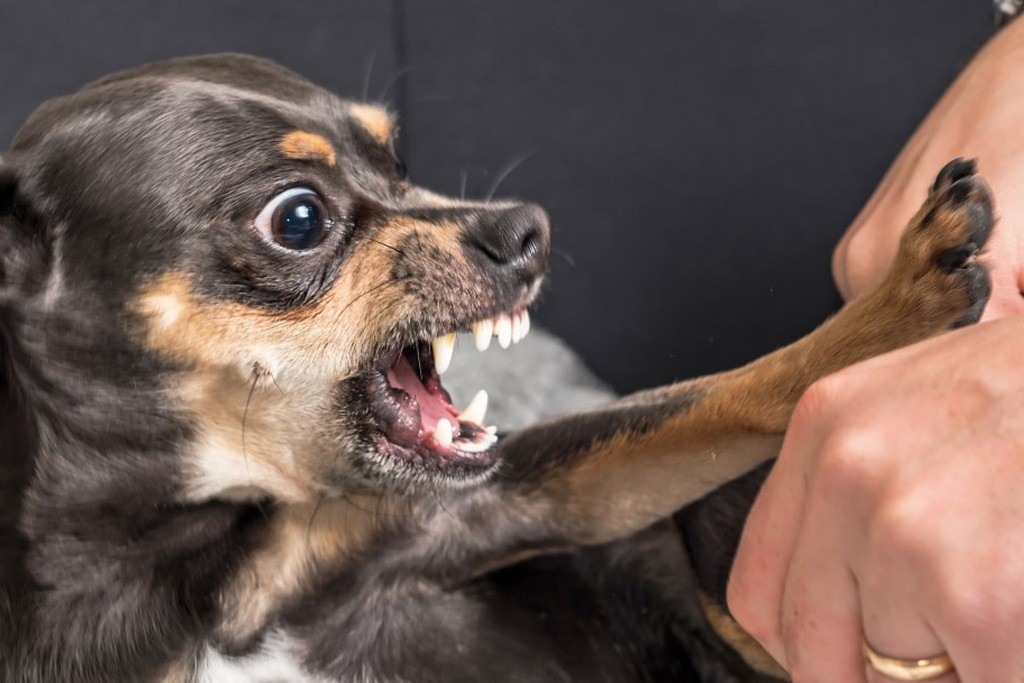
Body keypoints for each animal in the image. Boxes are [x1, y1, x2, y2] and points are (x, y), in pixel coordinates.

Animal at [0, 54, 991, 683]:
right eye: (298, 219)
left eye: (397, 162)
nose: (528, 228)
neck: (166, 572)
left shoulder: (514, 499)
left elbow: (728, 392)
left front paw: (900, 299)